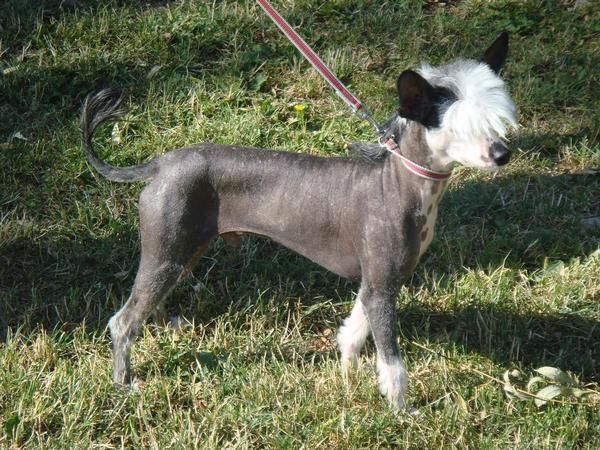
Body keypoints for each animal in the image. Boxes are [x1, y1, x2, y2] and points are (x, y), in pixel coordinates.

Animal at [82, 32, 516, 412]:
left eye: (497, 119)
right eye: (461, 128)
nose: (503, 154)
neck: (396, 182)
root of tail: (161, 164)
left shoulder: (377, 283)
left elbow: (355, 329)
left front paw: (347, 373)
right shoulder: (382, 289)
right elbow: (392, 362)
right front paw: (401, 411)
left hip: (180, 252)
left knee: (148, 302)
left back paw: (164, 326)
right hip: (168, 251)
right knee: (122, 322)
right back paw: (124, 383)